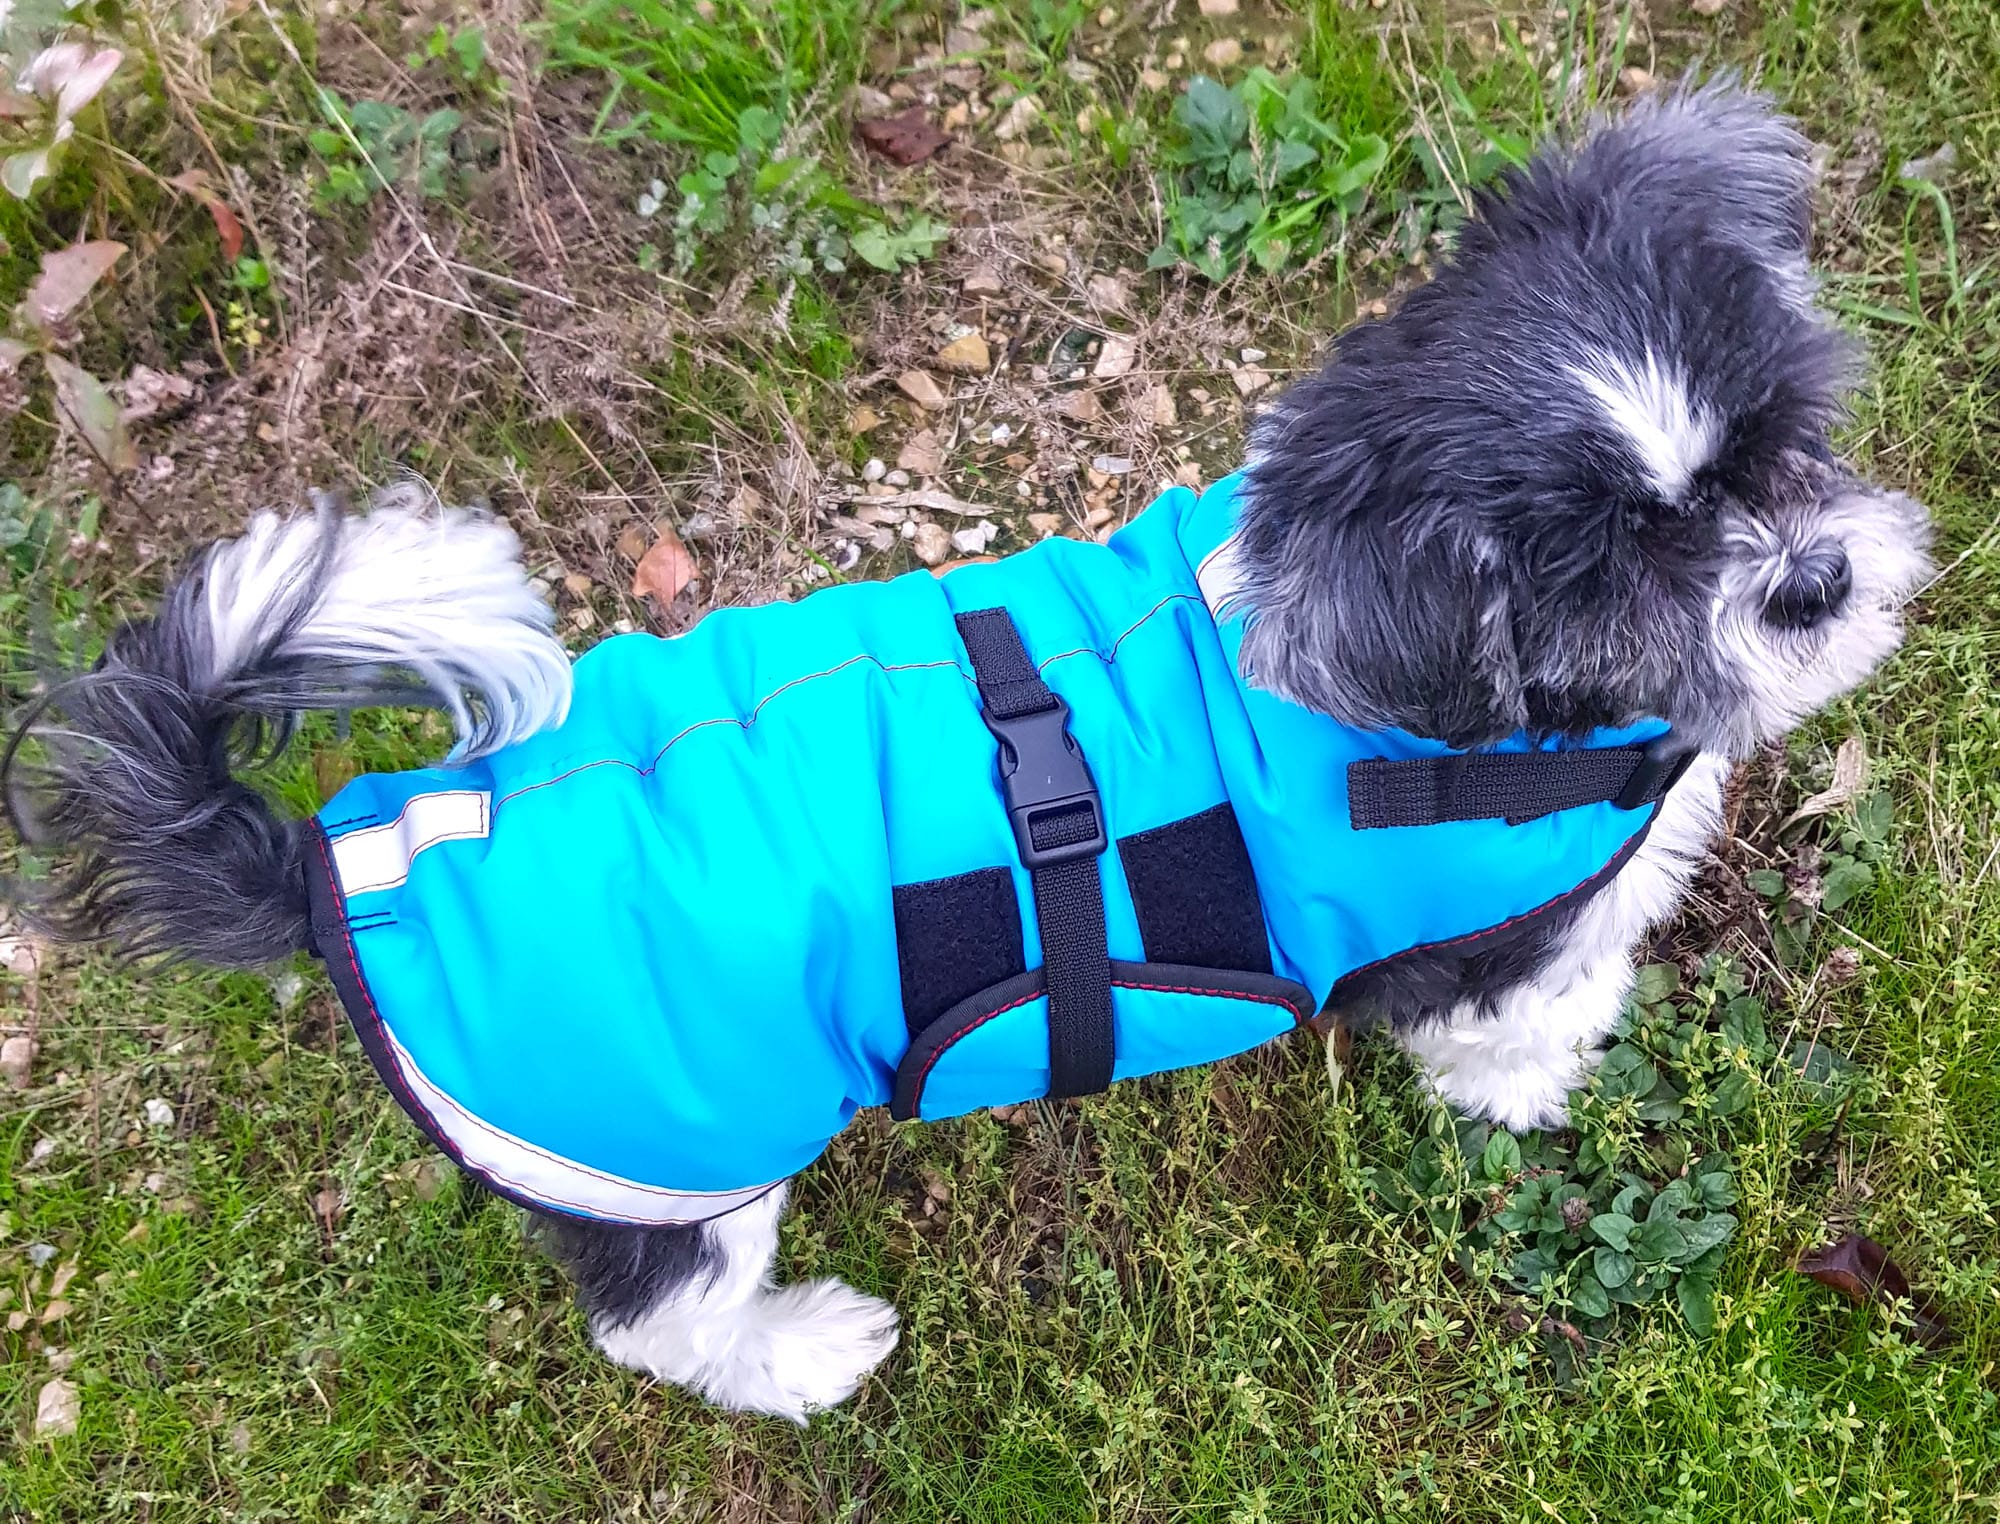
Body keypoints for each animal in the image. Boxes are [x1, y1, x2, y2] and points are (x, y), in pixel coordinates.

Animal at [3, 80, 1936, 1416]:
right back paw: (797, 1352)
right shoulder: (1473, 948)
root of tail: (358, 857)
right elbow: (1521, 1018)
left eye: (1778, 435)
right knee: (665, 1324)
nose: (1810, 581)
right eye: (1601, 569)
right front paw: (1546, 1075)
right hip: (678, 1152)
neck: (1435, 705)